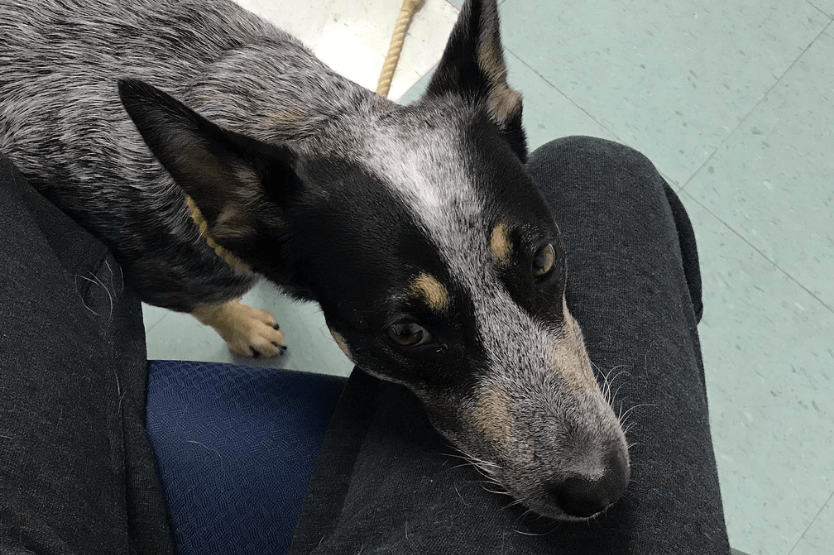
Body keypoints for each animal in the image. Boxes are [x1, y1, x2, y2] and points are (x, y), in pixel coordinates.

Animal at [0, 0, 624, 520]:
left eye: (542, 258)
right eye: (406, 332)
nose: (598, 488)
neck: (292, 113)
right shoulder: (157, 274)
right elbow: (207, 303)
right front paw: (244, 326)